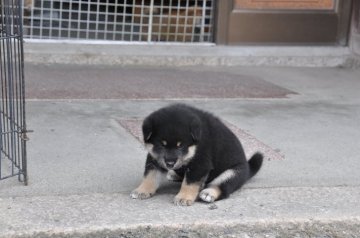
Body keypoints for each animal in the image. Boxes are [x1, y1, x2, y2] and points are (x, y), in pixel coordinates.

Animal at [131, 103, 262, 205]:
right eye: (162, 144)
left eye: (180, 145)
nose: (170, 163)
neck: (194, 146)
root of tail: (248, 169)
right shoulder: (155, 158)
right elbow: (150, 176)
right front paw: (142, 190)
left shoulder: (200, 164)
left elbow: (189, 182)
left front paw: (183, 197)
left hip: (233, 173)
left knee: (223, 187)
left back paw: (209, 193)